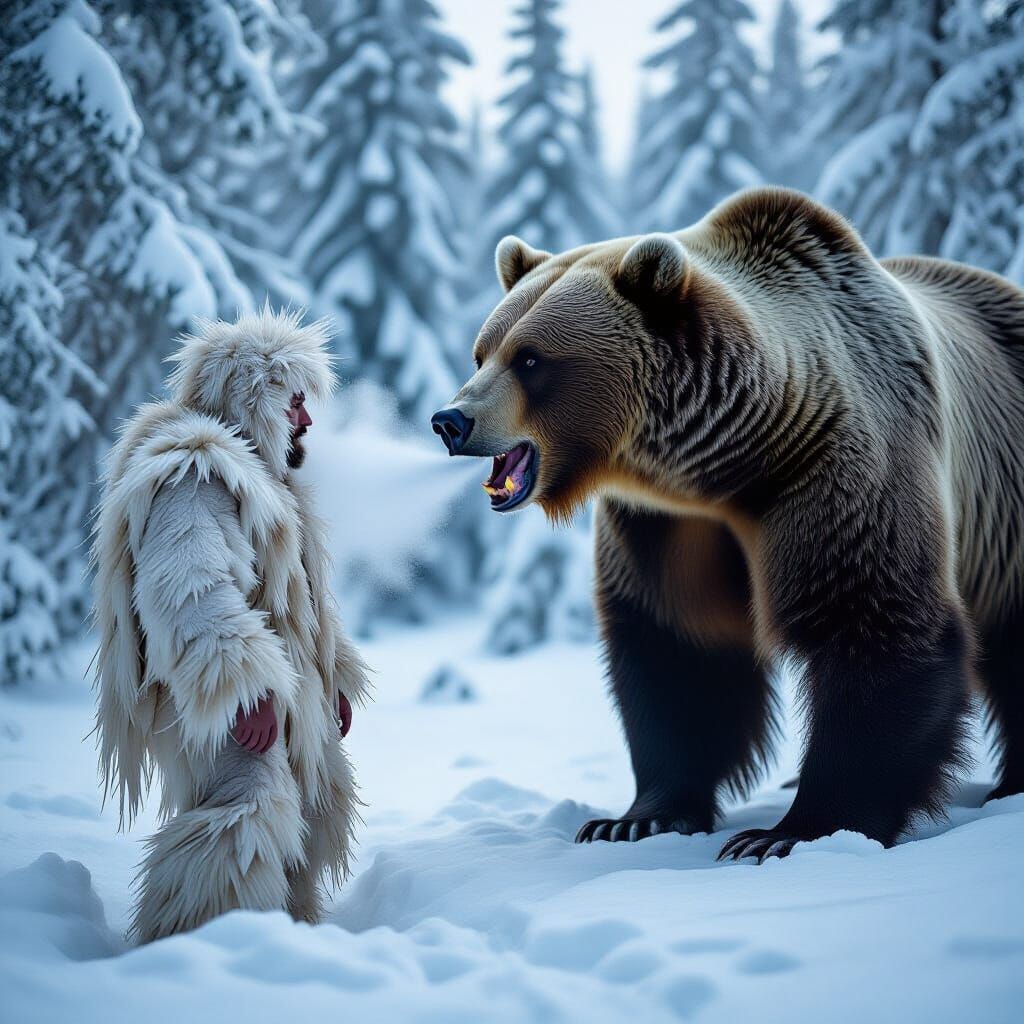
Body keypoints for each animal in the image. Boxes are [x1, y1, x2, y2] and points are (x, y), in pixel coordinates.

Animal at [431, 187, 1024, 862]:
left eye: (531, 359)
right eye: (482, 352)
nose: (450, 419)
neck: (730, 464)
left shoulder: (836, 471)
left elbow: (870, 620)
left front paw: (789, 832)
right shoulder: (666, 525)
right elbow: (678, 654)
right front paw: (633, 820)